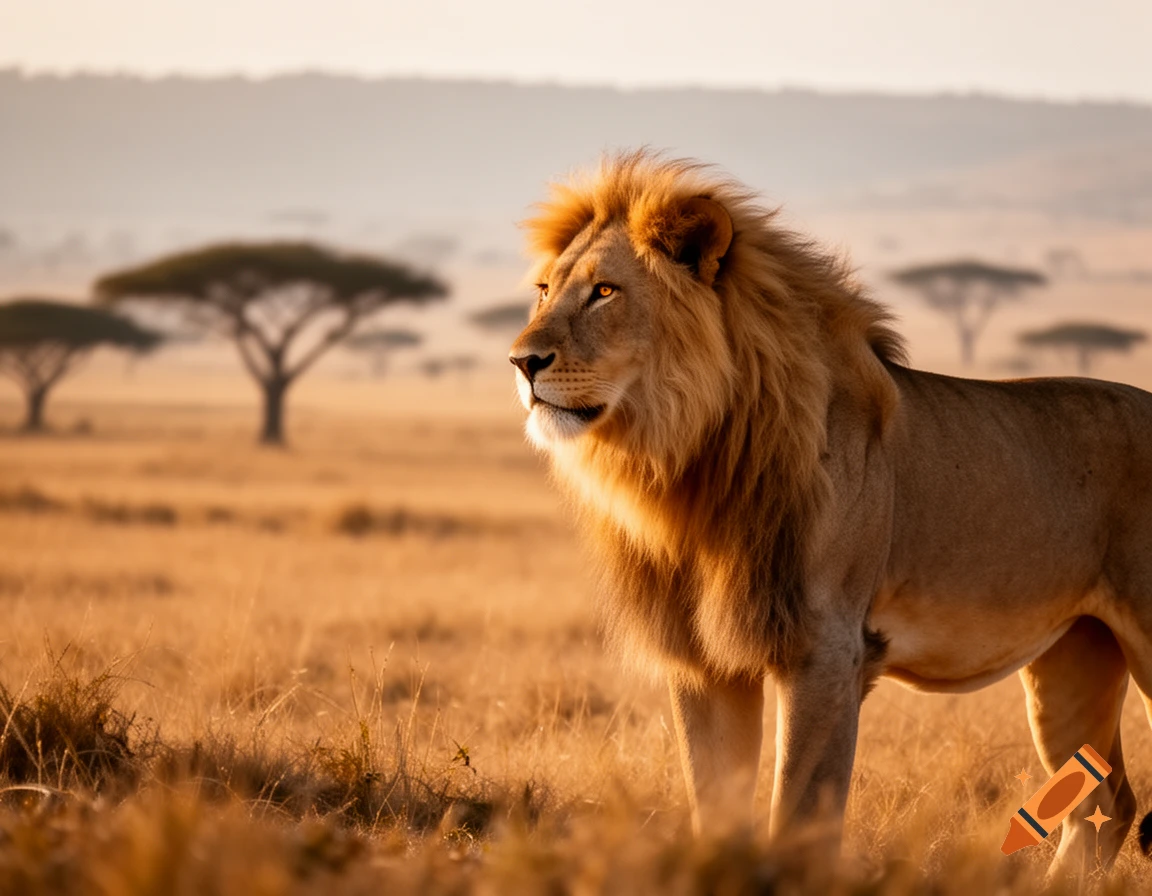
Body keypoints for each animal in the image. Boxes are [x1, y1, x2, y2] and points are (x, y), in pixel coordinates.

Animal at [508, 150, 1152, 877]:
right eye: (543, 290)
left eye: (604, 291)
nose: (522, 361)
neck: (692, 463)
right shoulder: (704, 663)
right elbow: (715, 807)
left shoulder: (826, 650)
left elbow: (800, 816)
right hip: (1073, 660)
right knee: (1104, 803)